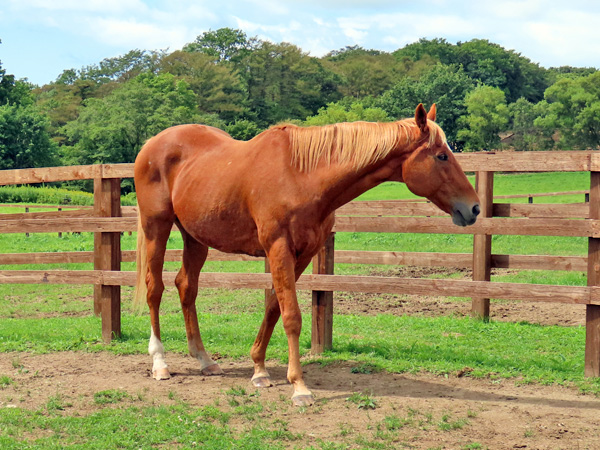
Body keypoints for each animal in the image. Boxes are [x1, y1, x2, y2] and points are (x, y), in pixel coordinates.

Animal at [134, 103, 480, 406]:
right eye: (441, 155)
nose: (474, 208)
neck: (302, 176)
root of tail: (152, 144)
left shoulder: (302, 254)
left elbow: (274, 307)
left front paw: (259, 369)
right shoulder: (278, 249)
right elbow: (292, 316)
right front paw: (299, 386)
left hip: (195, 238)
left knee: (186, 287)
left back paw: (205, 360)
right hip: (156, 228)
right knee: (154, 288)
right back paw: (160, 363)